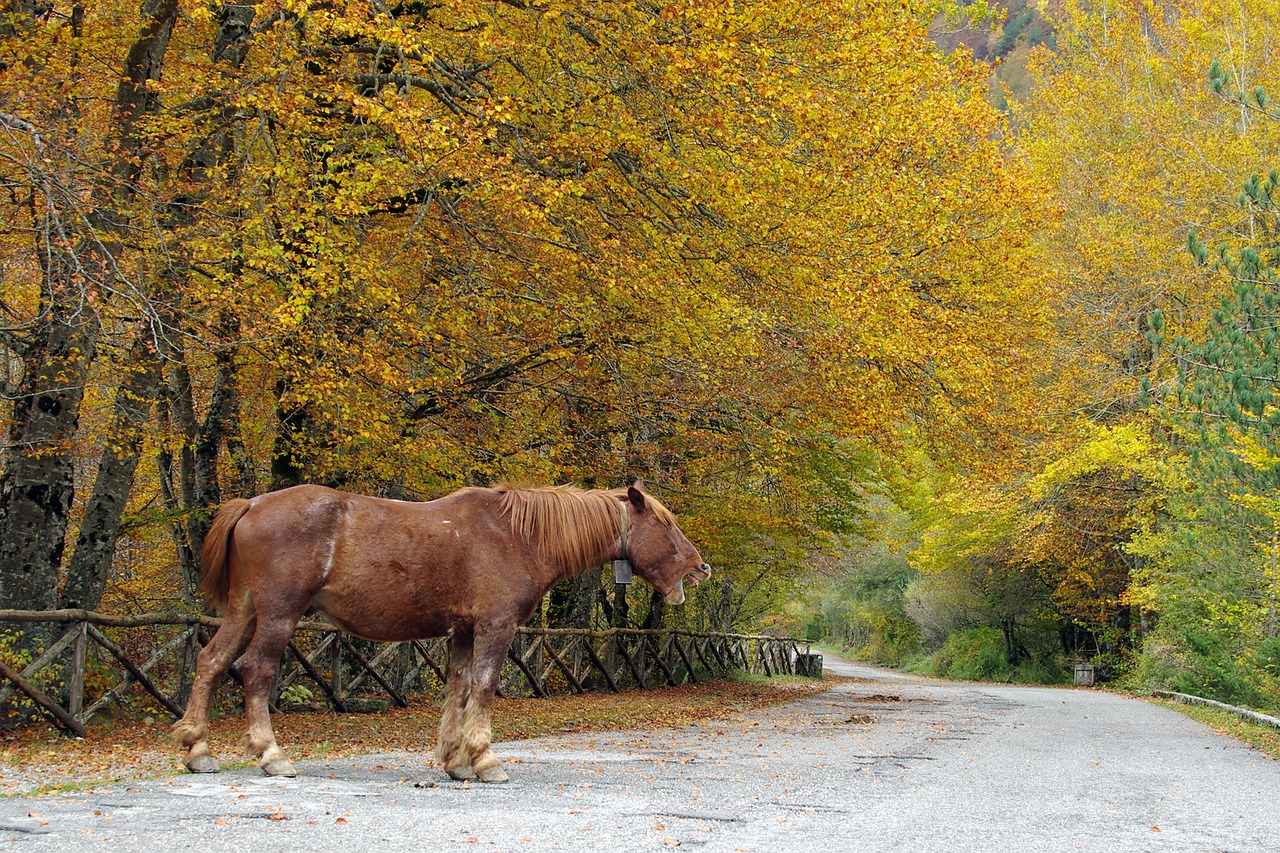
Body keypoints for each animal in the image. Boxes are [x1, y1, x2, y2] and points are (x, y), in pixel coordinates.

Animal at [171, 479, 711, 778]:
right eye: (666, 524)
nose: (699, 568)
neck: (518, 535)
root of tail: (253, 504)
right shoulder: (495, 626)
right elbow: (484, 687)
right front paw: (485, 760)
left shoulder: (464, 632)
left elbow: (458, 688)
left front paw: (455, 760)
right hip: (278, 615)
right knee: (256, 671)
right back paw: (271, 754)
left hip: (244, 611)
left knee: (212, 661)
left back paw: (198, 748)